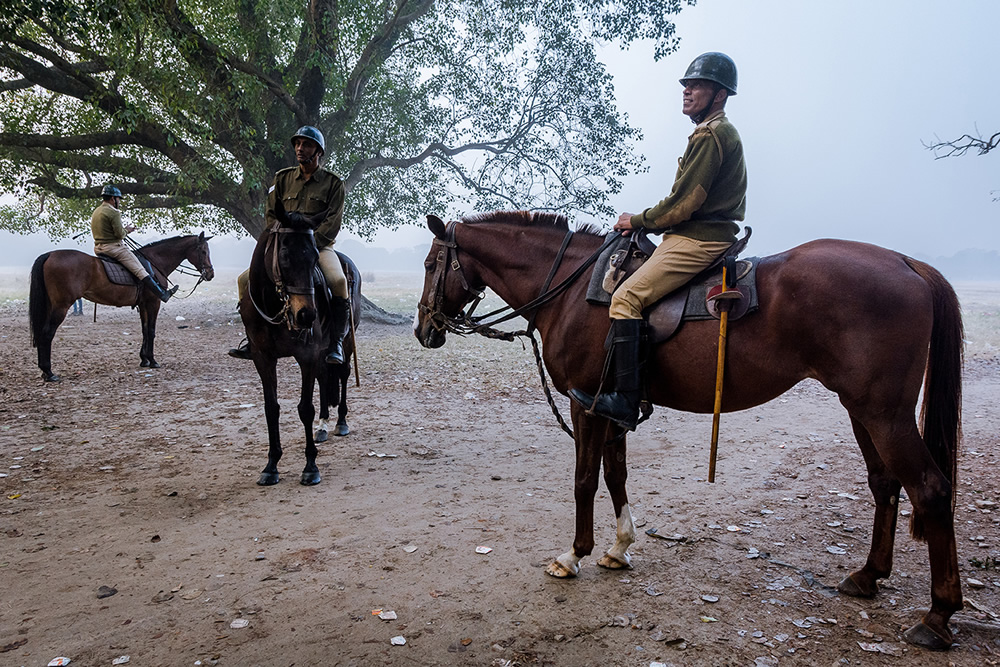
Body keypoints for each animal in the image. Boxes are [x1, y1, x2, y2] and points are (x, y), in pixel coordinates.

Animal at [28, 234, 215, 380]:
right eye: (203, 251)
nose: (210, 274)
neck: (154, 263)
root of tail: (49, 255)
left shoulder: (143, 305)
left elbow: (144, 330)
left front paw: (144, 359)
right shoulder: (154, 303)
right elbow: (151, 331)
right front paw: (153, 361)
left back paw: (44, 371)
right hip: (61, 307)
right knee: (47, 334)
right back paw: (49, 372)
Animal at [240, 209, 362, 486]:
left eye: (315, 256)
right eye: (284, 256)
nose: (306, 315)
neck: (274, 305)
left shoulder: (306, 354)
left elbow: (305, 408)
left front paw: (310, 467)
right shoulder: (263, 358)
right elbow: (271, 408)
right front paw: (271, 466)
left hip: (345, 343)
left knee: (343, 373)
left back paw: (340, 422)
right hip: (321, 353)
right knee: (324, 376)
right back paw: (322, 426)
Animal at [412, 214, 960, 652]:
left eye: (431, 263)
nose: (423, 329)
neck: (572, 291)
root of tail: (908, 263)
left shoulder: (585, 403)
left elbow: (585, 480)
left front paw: (574, 554)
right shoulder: (612, 408)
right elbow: (616, 475)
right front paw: (619, 547)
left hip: (884, 414)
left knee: (930, 489)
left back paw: (938, 616)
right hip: (861, 409)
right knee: (885, 485)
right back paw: (868, 576)